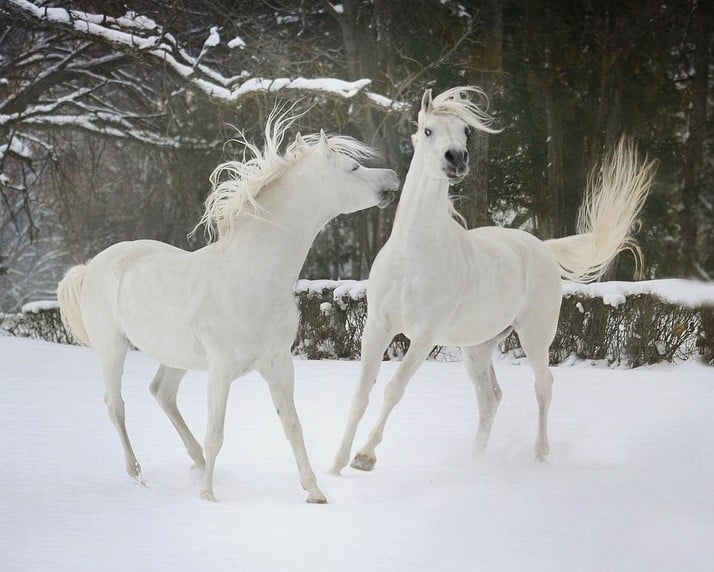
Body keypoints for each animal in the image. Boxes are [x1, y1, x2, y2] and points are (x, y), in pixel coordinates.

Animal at [57, 105, 398, 502]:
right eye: (353, 168)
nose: (392, 177)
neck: (251, 276)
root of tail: (91, 266)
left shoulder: (278, 365)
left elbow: (292, 426)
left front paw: (314, 492)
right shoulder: (221, 370)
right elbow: (217, 433)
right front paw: (208, 496)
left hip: (176, 355)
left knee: (162, 393)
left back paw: (197, 462)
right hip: (112, 349)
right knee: (117, 407)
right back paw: (139, 475)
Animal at [330, 86, 652, 474]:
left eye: (466, 131)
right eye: (428, 130)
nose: (456, 158)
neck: (413, 254)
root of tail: (542, 248)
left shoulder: (424, 336)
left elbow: (394, 388)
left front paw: (364, 457)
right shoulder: (377, 327)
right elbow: (361, 393)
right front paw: (334, 466)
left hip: (534, 335)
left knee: (543, 386)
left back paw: (540, 455)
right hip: (478, 347)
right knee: (490, 399)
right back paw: (475, 461)